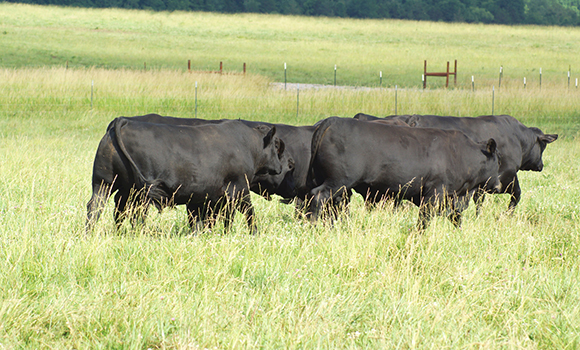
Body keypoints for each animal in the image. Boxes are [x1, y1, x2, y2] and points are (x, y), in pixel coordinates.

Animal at [86, 116, 286, 234]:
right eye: (276, 146)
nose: (281, 167)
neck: (246, 144)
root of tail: (124, 121)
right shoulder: (239, 189)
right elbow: (247, 212)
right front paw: (254, 233)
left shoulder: (211, 196)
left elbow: (210, 218)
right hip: (139, 192)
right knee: (135, 213)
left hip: (105, 183)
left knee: (99, 207)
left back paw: (95, 233)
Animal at [308, 116, 502, 228]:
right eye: (498, 161)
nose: (499, 185)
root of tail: (333, 121)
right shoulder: (434, 194)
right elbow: (424, 221)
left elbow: (455, 217)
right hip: (337, 182)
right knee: (318, 197)